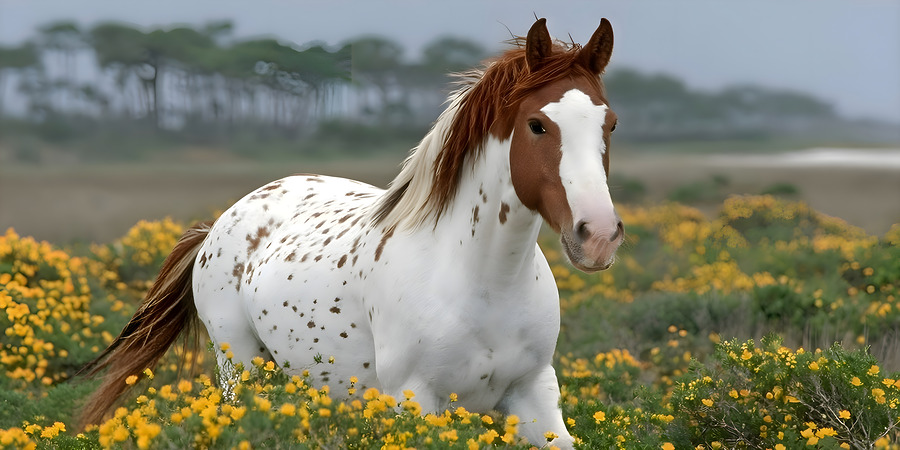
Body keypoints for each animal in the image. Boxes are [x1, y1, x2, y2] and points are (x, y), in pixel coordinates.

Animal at [80, 17, 622, 448]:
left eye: (611, 124)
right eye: (537, 124)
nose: (597, 235)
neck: (485, 281)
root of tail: (219, 226)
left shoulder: (534, 396)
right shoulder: (415, 402)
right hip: (240, 368)